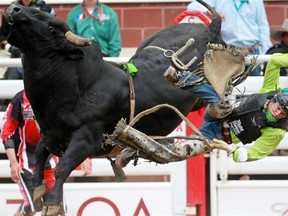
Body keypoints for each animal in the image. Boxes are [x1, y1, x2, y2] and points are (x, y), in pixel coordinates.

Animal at [1, 0, 254, 215]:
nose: (13, 9)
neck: (76, 84)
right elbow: (38, 158)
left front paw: (52, 203)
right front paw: (34, 194)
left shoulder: (86, 139)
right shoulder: (50, 134)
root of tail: (210, 29)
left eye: (51, 26)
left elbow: (62, 167)